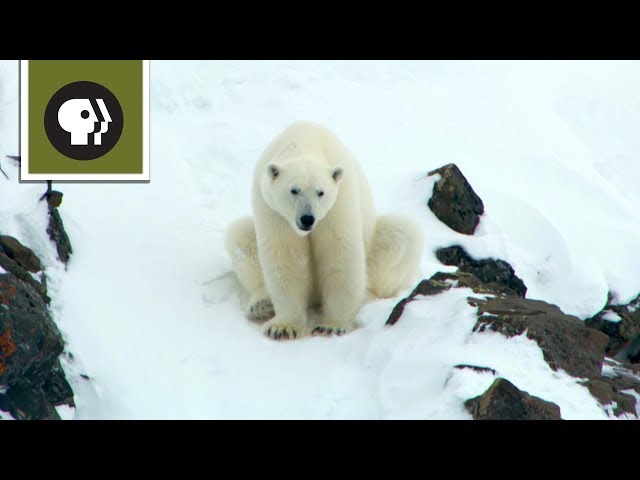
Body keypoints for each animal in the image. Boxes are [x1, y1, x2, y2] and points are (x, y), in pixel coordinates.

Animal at [222, 124, 422, 342]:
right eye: (294, 190)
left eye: (321, 192)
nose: (307, 219)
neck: (304, 140)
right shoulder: (272, 209)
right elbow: (286, 257)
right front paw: (283, 327)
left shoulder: (338, 202)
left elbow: (340, 253)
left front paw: (332, 326)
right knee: (239, 236)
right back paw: (261, 305)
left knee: (402, 235)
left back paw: (367, 299)